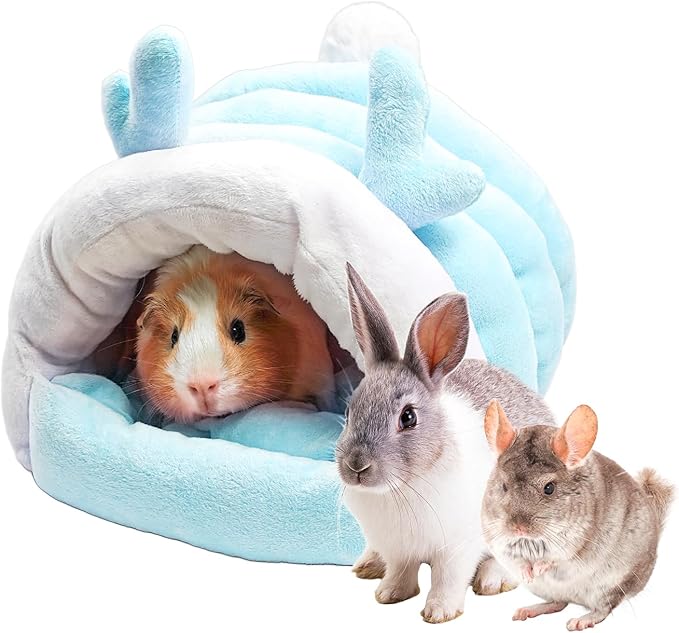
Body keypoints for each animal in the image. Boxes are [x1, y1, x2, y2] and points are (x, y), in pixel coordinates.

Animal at [335, 263, 554, 623]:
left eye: (408, 417)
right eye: (349, 410)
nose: (356, 466)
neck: (402, 488)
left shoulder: (458, 546)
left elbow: (448, 579)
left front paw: (439, 612)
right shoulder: (398, 549)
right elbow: (401, 571)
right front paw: (389, 594)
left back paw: (492, 581)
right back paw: (367, 565)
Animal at [481, 400, 674, 630]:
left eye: (549, 488)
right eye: (503, 486)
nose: (518, 527)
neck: (532, 540)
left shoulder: (571, 544)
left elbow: (554, 559)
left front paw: (538, 568)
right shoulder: (499, 540)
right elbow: (516, 559)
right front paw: (527, 573)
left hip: (610, 586)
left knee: (602, 609)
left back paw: (581, 621)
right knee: (558, 603)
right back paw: (526, 610)